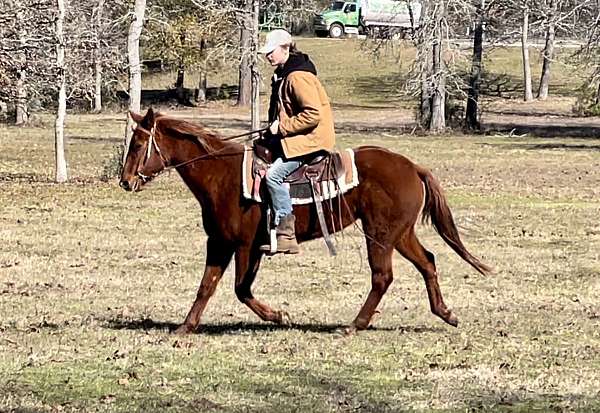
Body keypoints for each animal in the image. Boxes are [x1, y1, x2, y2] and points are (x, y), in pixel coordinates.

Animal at [119, 109, 490, 334]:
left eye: (137, 144)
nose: (125, 181)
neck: (222, 175)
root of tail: (412, 166)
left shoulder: (243, 246)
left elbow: (240, 289)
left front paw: (278, 316)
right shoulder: (221, 243)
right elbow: (207, 286)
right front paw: (186, 326)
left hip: (380, 235)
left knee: (382, 276)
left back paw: (355, 324)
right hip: (400, 234)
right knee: (427, 262)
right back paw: (445, 313)